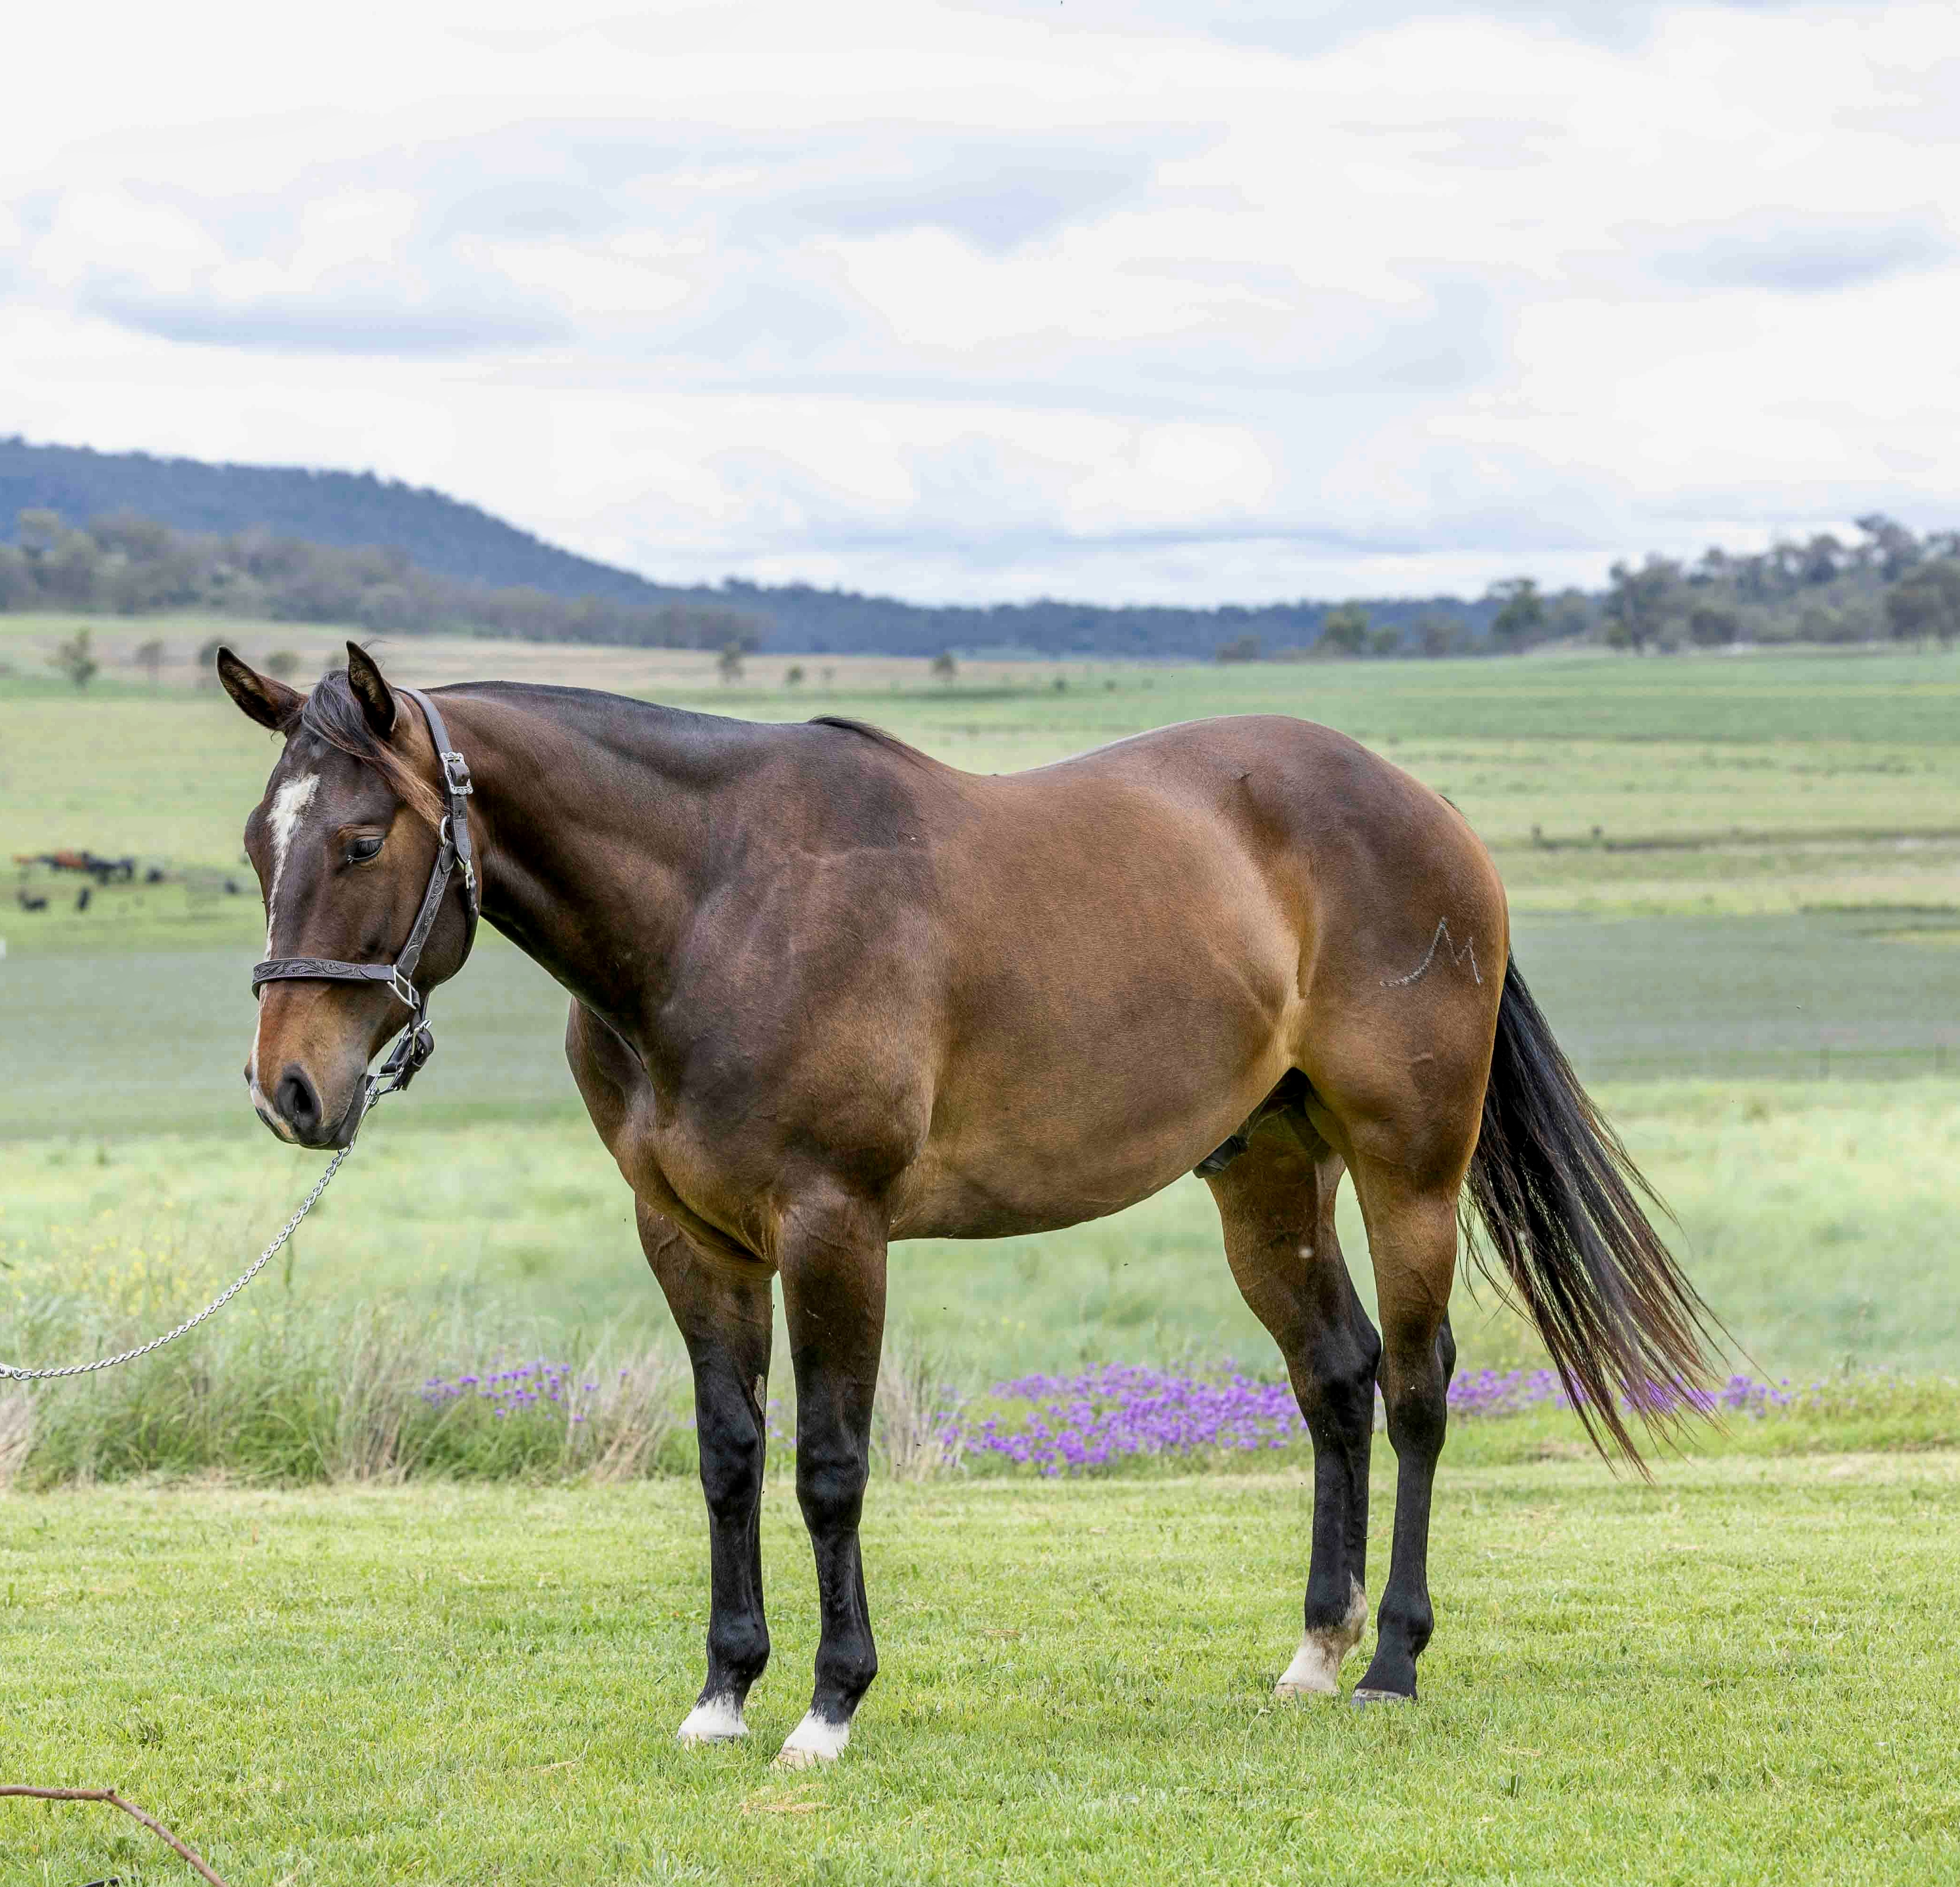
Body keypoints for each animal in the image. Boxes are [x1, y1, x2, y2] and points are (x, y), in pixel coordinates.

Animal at [218, 642, 1715, 1766]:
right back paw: (1313, 1649)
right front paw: (722, 1693)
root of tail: (1426, 811)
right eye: (255, 846)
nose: (290, 1090)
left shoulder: (834, 1228)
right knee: (1335, 1380)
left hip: (1411, 1168)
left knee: (1412, 1387)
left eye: (362, 838)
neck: (717, 906)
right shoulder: (689, 1239)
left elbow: (827, 1466)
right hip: (1266, 1173)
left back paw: (1393, 1656)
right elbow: (727, 1457)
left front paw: (827, 1707)